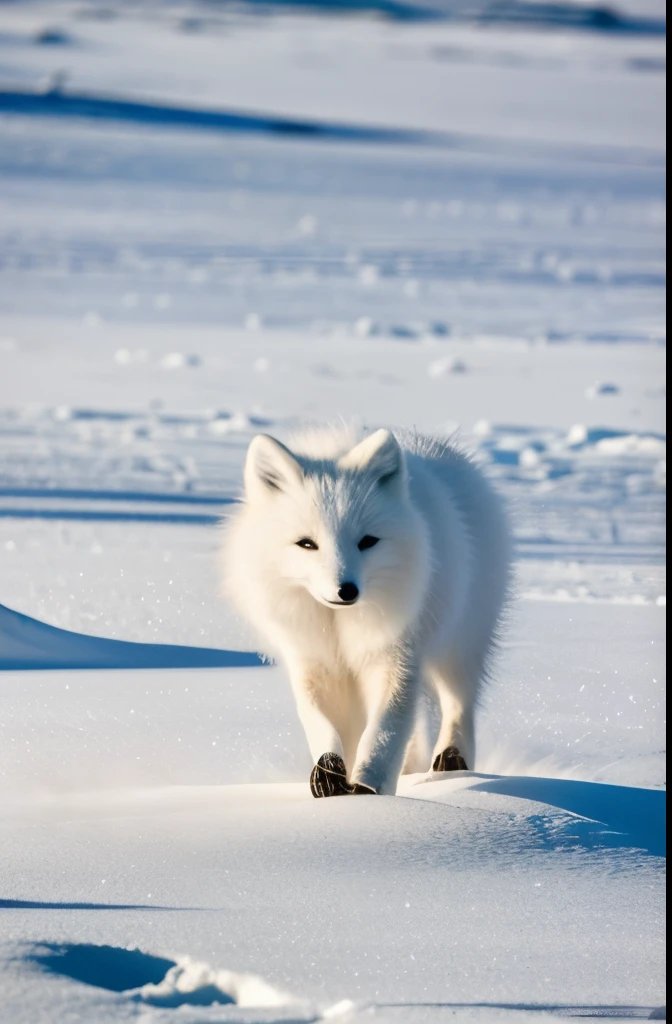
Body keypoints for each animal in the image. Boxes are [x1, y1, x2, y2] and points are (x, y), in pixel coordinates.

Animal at [220, 428, 510, 794]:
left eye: (367, 541)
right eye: (307, 544)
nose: (346, 590)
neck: (339, 626)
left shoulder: (396, 658)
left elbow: (386, 729)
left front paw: (369, 788)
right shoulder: (312, 661)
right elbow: (319, 721)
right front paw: (330, 772)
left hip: (460, 644)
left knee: (459, 704)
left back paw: (451, 762)